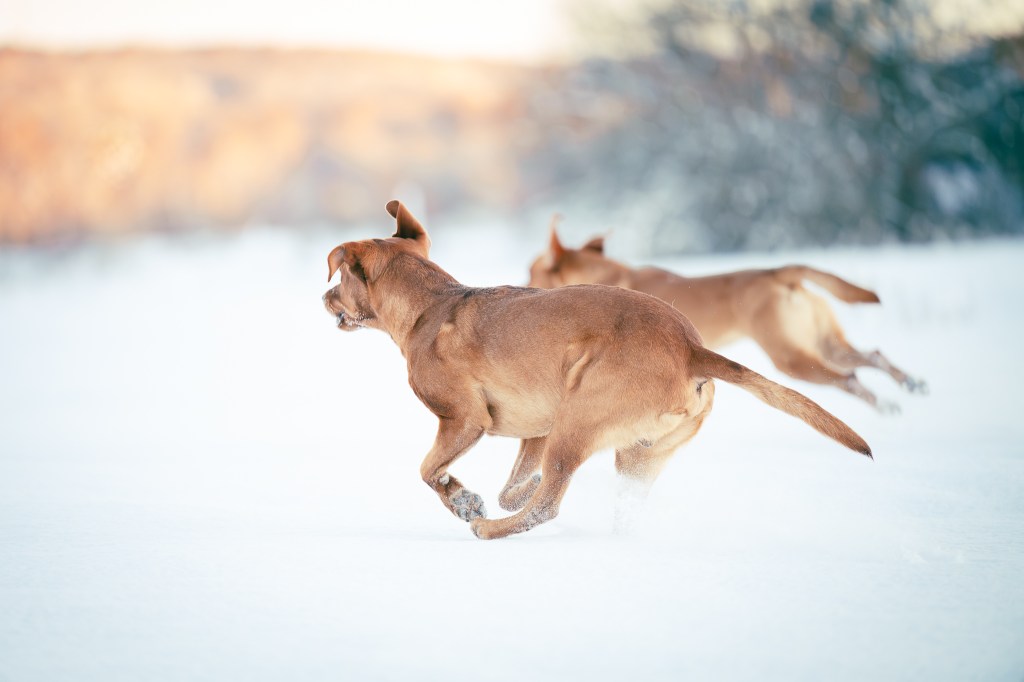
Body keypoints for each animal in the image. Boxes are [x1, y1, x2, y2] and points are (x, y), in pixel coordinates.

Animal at [323, 201, 871, 540]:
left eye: (338, 277)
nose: (324, 298)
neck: (431, 304)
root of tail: (691, 348)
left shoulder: (464, 420)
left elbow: (428, 470)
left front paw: (464, 502)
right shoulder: (538, 430)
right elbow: (509, 486)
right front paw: (497, 493)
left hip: (580, 418)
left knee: (548, 506)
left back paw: (490, 529)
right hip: (636, 453)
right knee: (608, 504)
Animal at [527, 220, 926, 413]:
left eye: (532, 271)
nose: (525, 285)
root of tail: (780, 273)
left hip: (791, 358)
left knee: (850, 378)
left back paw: (887, 405)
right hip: (822, 343)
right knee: (872, 355)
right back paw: (911, 384)